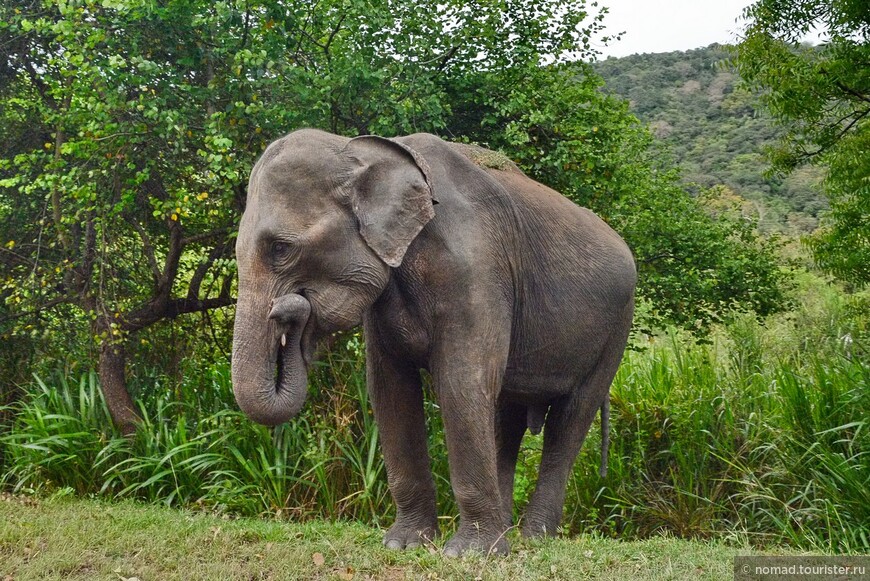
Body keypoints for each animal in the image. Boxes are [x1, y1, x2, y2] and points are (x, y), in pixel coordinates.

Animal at [232, 129, 636, 556]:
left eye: (281, 249)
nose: (290, 311)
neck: (362, 150)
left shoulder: (476, 267)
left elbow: (462, 383)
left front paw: (468, 553)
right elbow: (391, 390)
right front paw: (404, 544)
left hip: (617, 328)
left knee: (570, 418)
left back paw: (533, 538)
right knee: (506, 419)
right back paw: (507, 534)